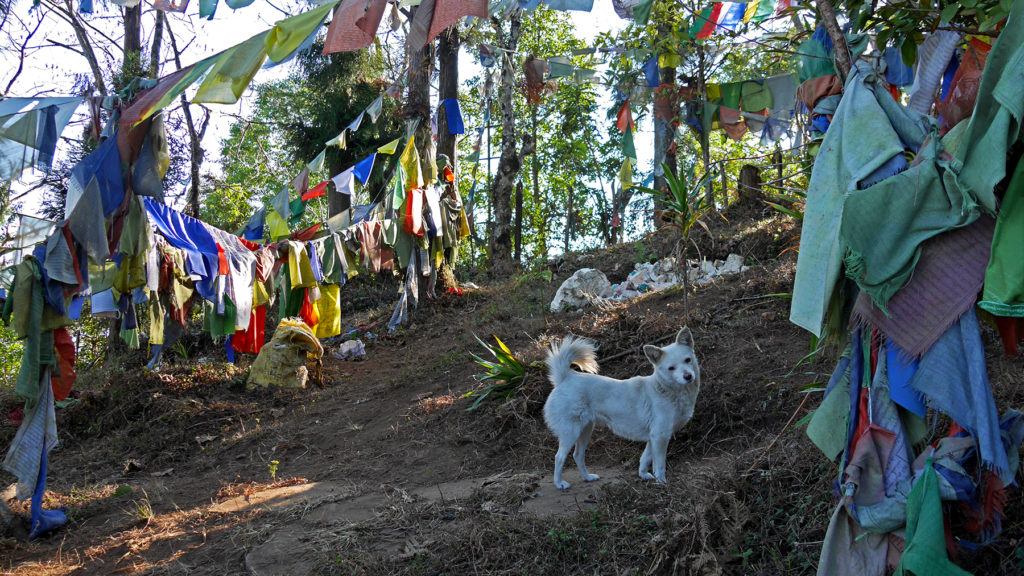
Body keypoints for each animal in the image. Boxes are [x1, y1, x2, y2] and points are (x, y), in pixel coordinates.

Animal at [540, 330, 700, 485]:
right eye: (671, 368)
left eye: (687, 360)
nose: (688, 376)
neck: (665, 389)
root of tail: (566, 377)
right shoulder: (660, 436)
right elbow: (659, 465)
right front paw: (661, 483)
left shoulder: (653, 437)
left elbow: (645, 458)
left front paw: (643, 475)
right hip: (570, 432)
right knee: (559, 457)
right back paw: (560, 483)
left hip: (585, 430)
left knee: (577, 455)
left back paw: (587, 477)